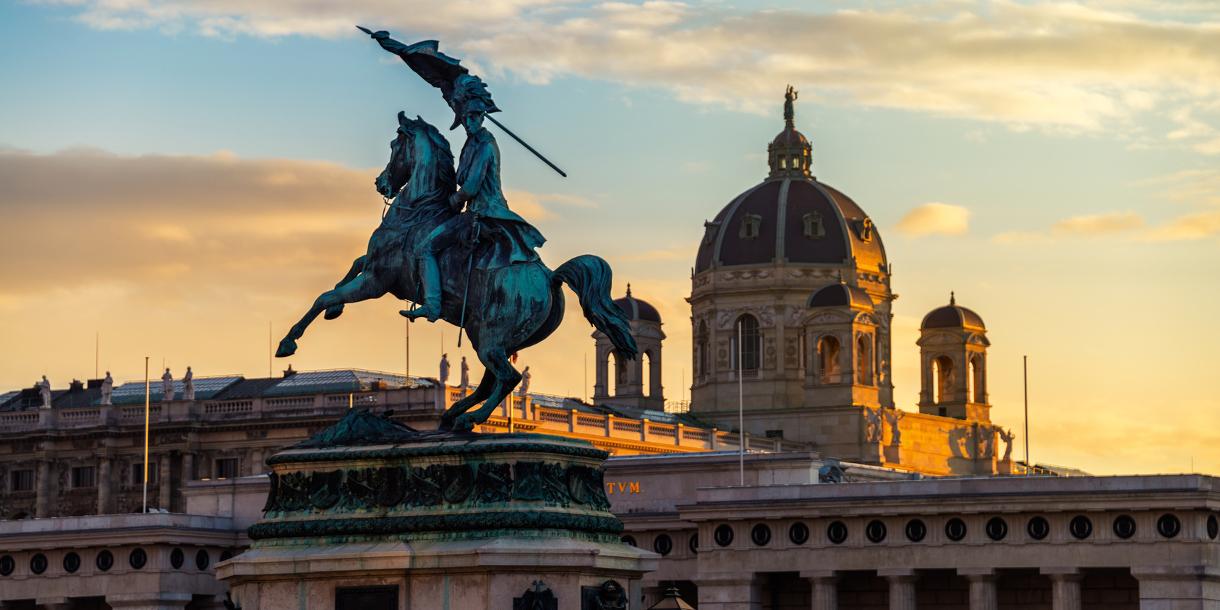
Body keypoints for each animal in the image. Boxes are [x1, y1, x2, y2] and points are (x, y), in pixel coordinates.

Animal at [276, 113, 639, 429]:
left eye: (394, 145)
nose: (380, 183)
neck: (419, 212)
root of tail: (551, 278)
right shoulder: (377, 267)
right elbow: (349, 269)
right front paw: (334, 311)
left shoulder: (379, 281)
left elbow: (324, 295)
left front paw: (288, 342)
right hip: (489, 336)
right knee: (490, 381)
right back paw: (453, 415)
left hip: (491, 337)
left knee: (508, 378)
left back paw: (469, 418)